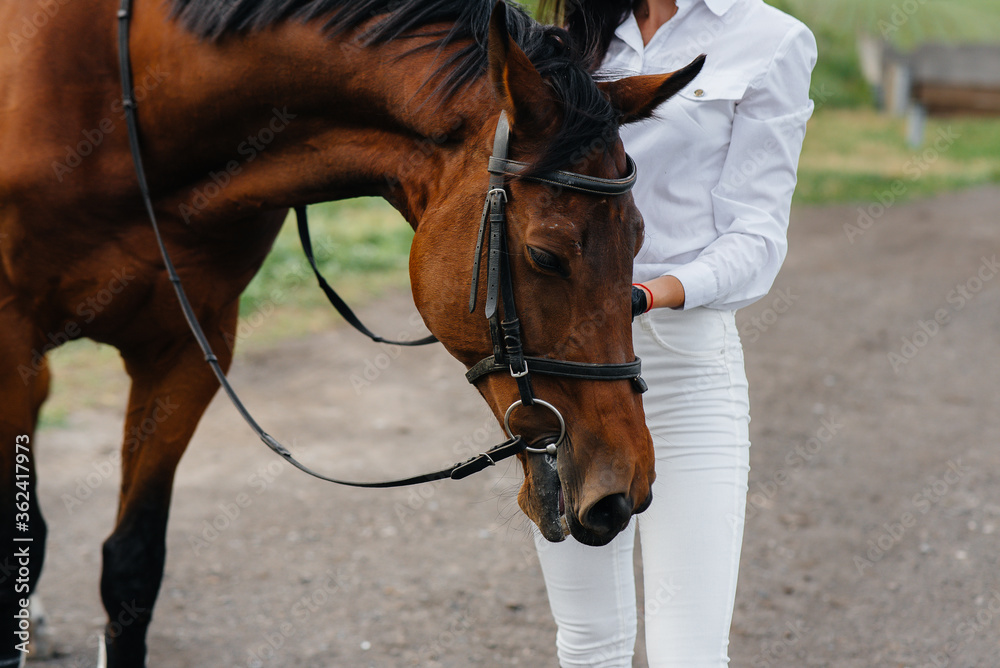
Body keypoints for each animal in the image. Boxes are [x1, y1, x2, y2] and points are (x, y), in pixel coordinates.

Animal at [0, 0, 702, 663]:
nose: (623, 490)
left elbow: (133, 564)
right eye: (545, 256)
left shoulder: (189, 345)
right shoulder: (15, 347)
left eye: (638, 239)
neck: (141, 112)